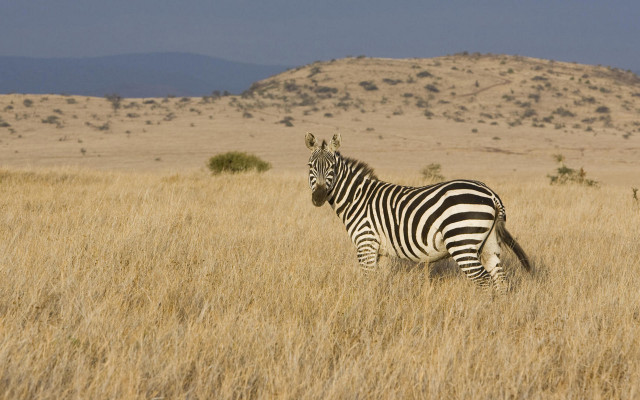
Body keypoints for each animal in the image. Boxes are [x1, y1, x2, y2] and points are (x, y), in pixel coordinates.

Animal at [305, 132, 532, 291]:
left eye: (332, 167)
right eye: (310, 166)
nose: (318, 197)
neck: (357, 198)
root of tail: (491, 193)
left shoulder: (365, 243)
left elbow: (368, 281)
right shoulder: (381, 251)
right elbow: (379, 282)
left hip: (462, 241)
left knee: (483, 280)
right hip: (489, 243)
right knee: (500, 280)